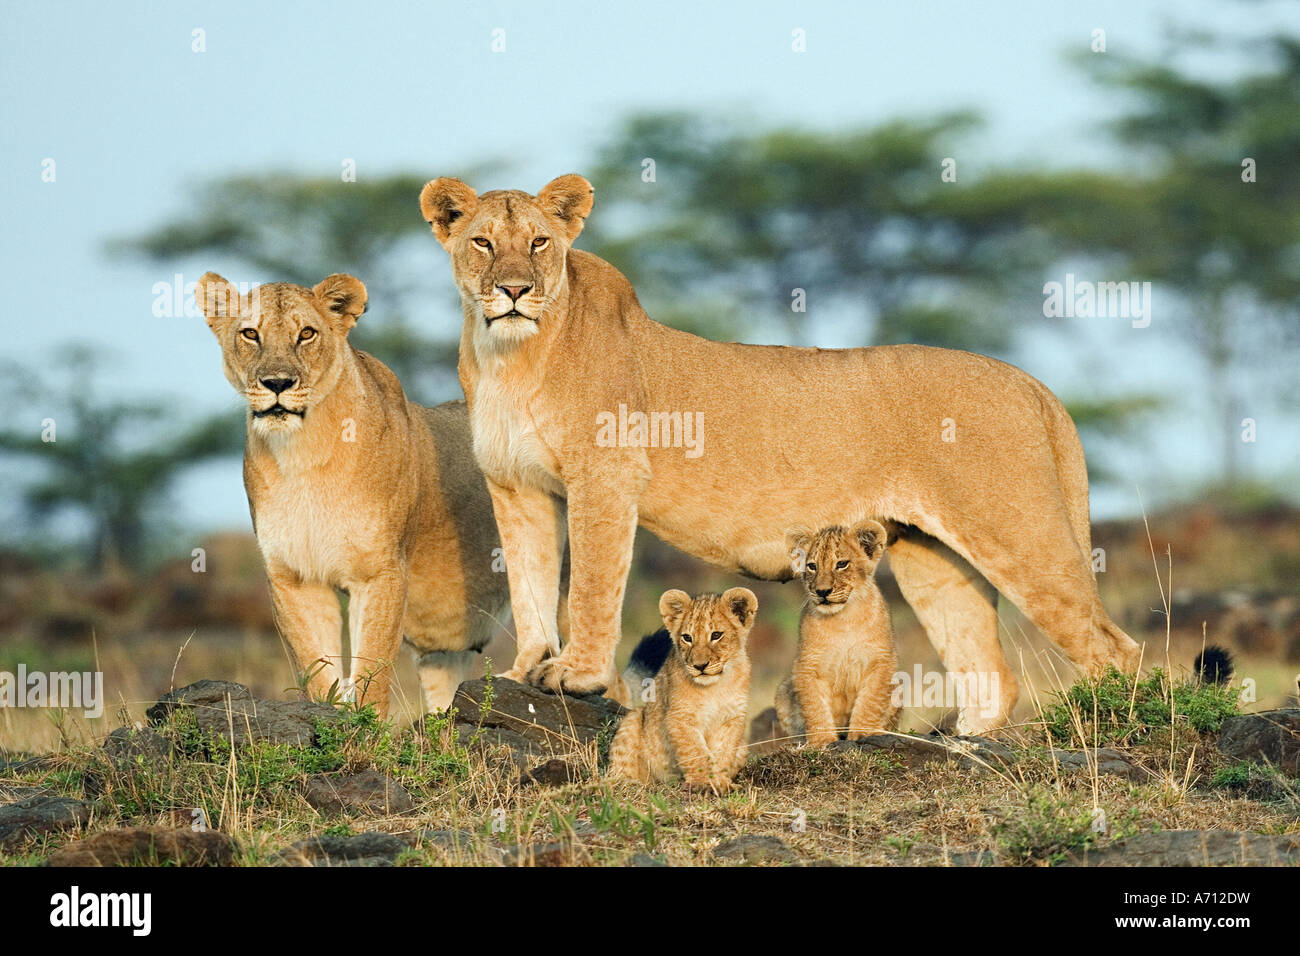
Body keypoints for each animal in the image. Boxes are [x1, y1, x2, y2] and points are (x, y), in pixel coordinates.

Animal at [195, 271, 517, 717]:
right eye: (249, 334)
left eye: (306, 334)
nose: (277, 383)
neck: (302, 454)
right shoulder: (294, 577)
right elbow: (316, 667)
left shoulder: (380, 571)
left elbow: (372, 668)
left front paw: (366, 726)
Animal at [608, 588, 755, 792]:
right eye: (687, 638)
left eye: (716, 635)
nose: (700, 666)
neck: (715, 687)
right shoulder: (680, 717)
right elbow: (696, 751)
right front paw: (705, 783)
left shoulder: (731, 717)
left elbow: (722, 752)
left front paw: (722, 782)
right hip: (633, 719)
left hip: (743, 747)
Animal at [775, 520, 899, 746]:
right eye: (812, 566)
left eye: (841, 564)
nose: (822, 592)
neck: (844, 620)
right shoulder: (806, 665)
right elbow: (814, 706)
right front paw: (822, 740)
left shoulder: (882, 661)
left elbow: (870, 701)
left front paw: (863, 733)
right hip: (782, 691)